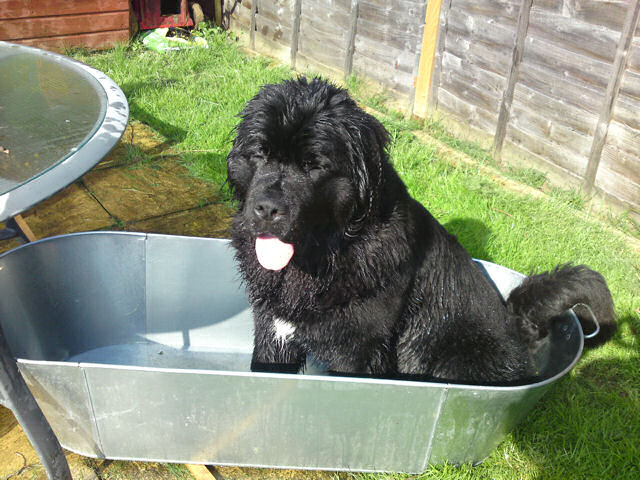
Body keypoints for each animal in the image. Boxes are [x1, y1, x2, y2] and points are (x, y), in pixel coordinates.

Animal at [226, 77, 616, 384]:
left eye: (313, 166)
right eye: (259, 154)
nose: (266, 209)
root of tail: (518, 334)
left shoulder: (358, 346)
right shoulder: (273, 328)